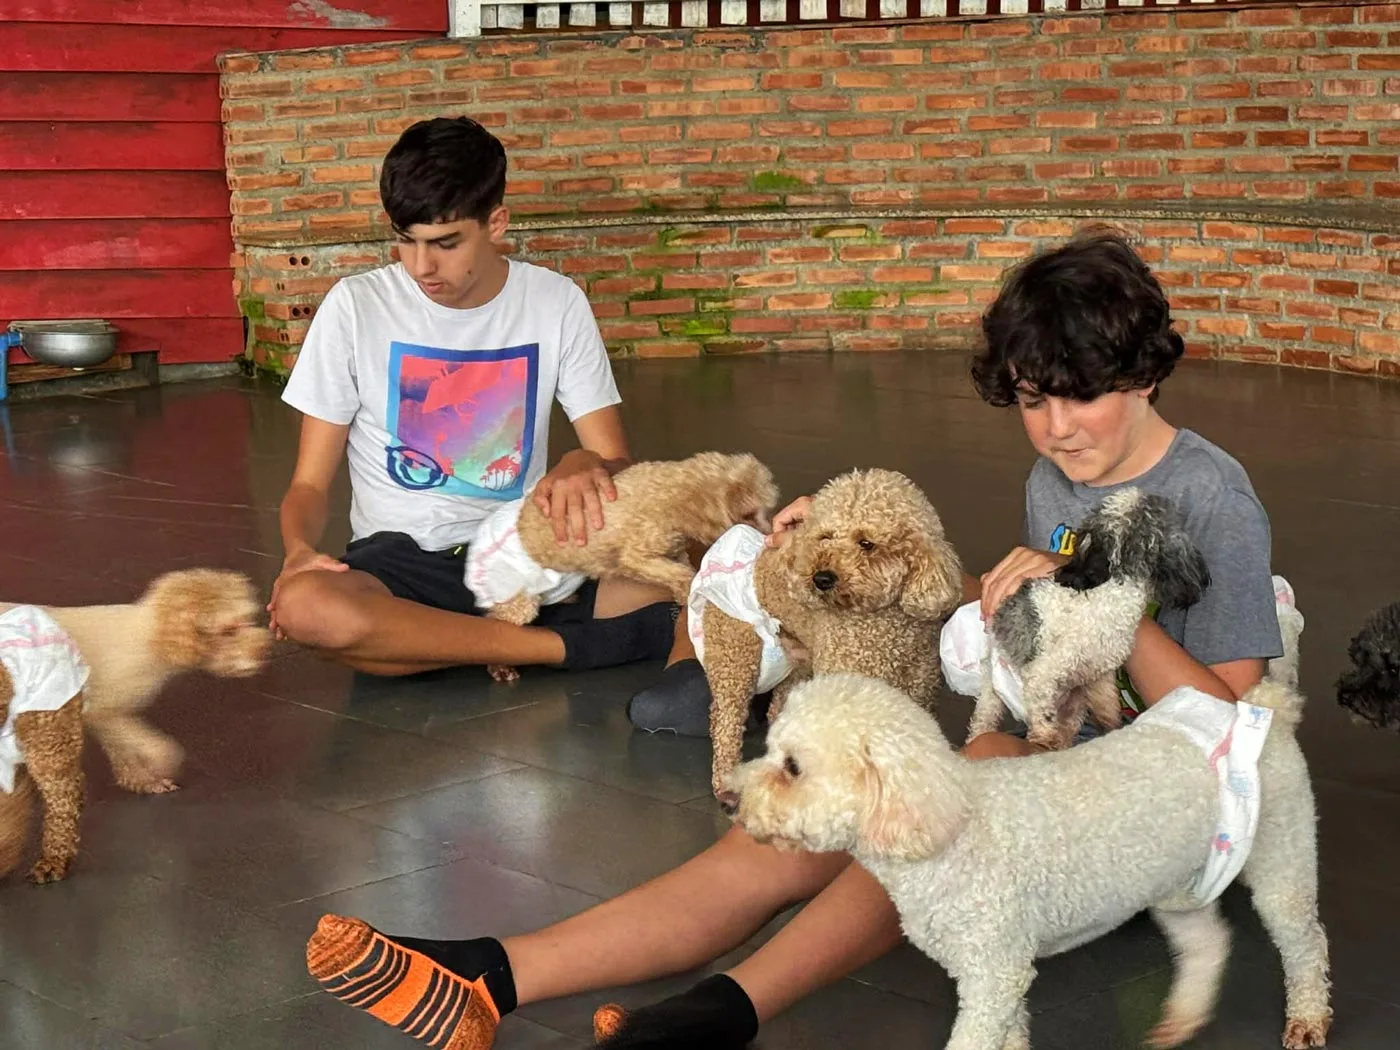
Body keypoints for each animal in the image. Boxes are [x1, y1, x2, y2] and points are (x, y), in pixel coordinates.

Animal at [32, 569, 271, 794]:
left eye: (250, 618)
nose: (265, 651)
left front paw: (143, 781)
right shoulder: (104, 711)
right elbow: (159, 748)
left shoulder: (112, 719)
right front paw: (159, 769)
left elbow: (125, 752)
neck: (152, 636)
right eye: (228, 630)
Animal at [468, 451, 778, 683]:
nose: (768, 536)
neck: (675, 492)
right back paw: (499, 666)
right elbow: (682, 575)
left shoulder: (673, 550)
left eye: (766, 511)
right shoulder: (636, 556)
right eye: (748, 514)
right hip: (517, 599)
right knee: (495, 624)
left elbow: (682, 569)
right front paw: (688, 593)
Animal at [694, 468, 963, 799]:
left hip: (797, 657)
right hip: (736, 652)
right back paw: (725, 780)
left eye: (866, 543)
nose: (821, 578)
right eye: (825, 537)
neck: (883, 628)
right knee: (727, 719)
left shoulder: (916, 698)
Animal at [729, 673, 1331, 1050]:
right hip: (1177, 885)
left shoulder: (993, 972)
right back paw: (1184, 1015)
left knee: (1305, 945)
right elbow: (1012, 1031)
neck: (949, 828)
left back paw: (1306, 1017)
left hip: (1282, 856)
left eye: (792, 767)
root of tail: (1269, 711)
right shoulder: (1002, 972)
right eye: (769, 748)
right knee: (1206, 941)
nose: (731, 800)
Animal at [970, 487, 1210, 751]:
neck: (1110, 595)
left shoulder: (1100, 675)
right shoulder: (1043, 674)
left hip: (1074, 701)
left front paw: (1111, 728)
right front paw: (1043, 738)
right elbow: (1043, 715)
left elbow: (1108, 708)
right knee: (983, 721)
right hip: (994, 688)